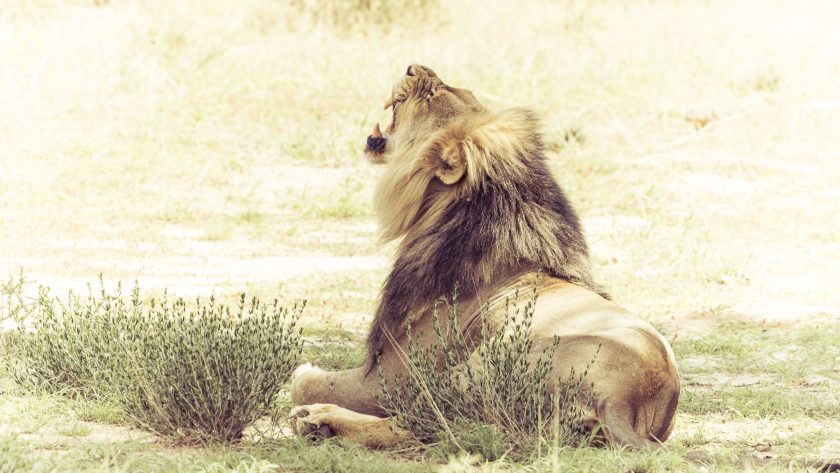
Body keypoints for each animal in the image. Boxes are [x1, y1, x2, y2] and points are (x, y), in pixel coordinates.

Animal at [290, 64, 680, 449]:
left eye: (434, 92)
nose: (412, 67)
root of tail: (625, 400)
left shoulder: (391, 377)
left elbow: (304, 382)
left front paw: (309, 376)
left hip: (479, 366)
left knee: (424, 424)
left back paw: (318, 420)